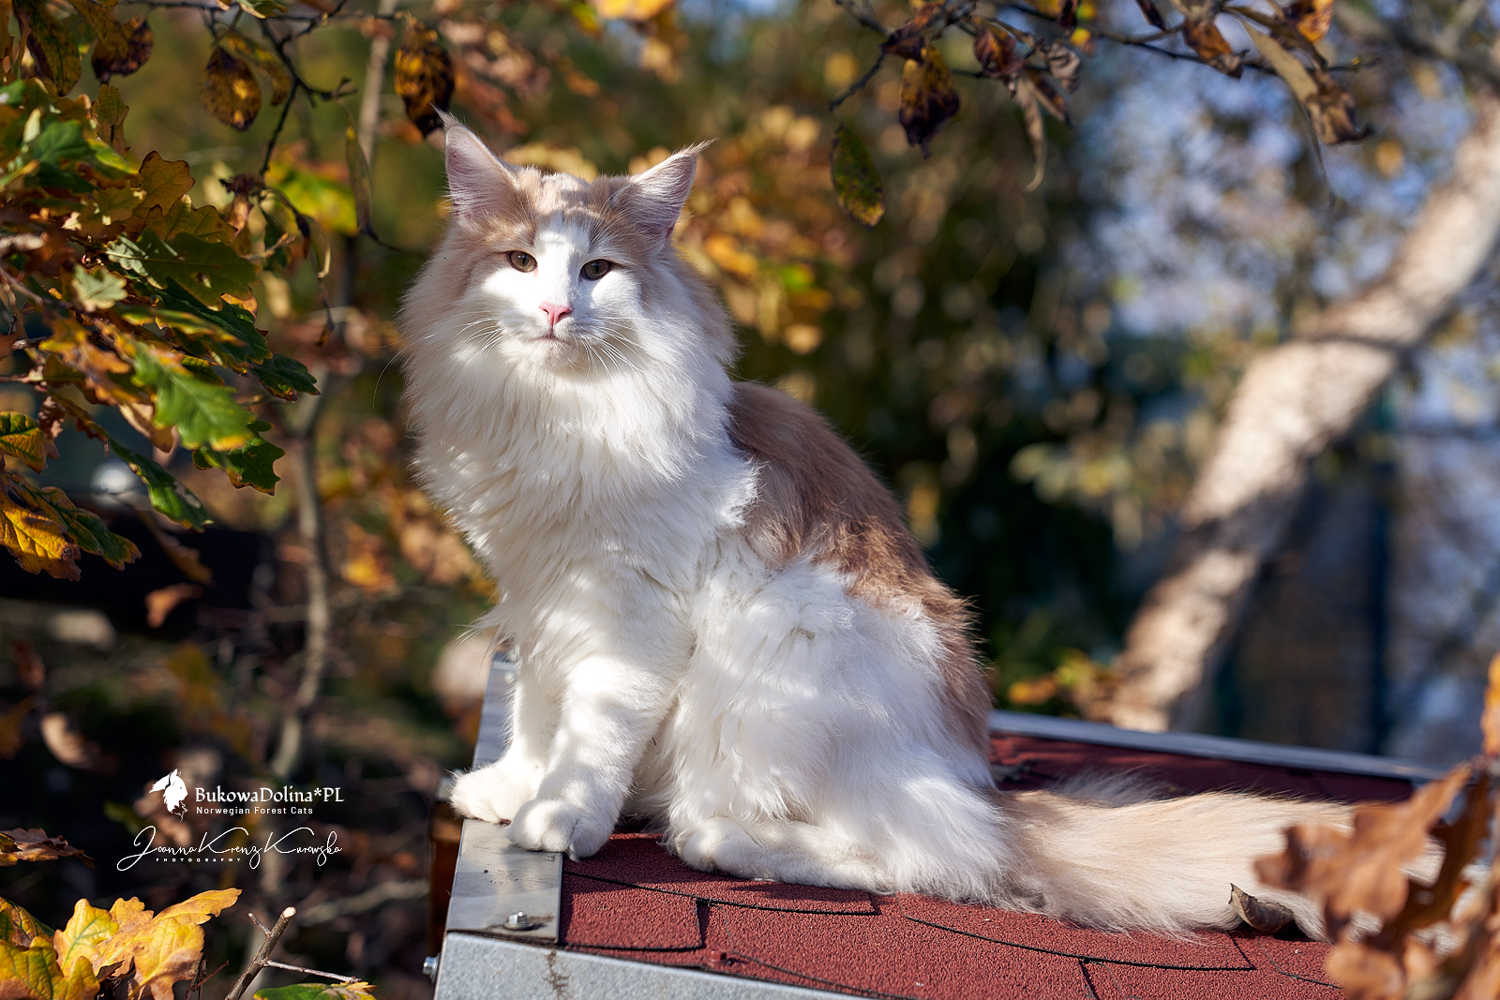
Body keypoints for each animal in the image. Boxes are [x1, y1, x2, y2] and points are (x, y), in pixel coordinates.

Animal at [399, 119, 1351, 936]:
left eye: (596, 270)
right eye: (522, 261)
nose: (557, 312)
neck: (558, 413)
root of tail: (979, 785)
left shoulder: (631, 609)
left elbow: (591, 725)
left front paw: (561, 816)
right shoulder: (542, 596)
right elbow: (537, 708)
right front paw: (511, 789)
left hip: (782, 655)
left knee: (926, 859)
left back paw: (711, 836)